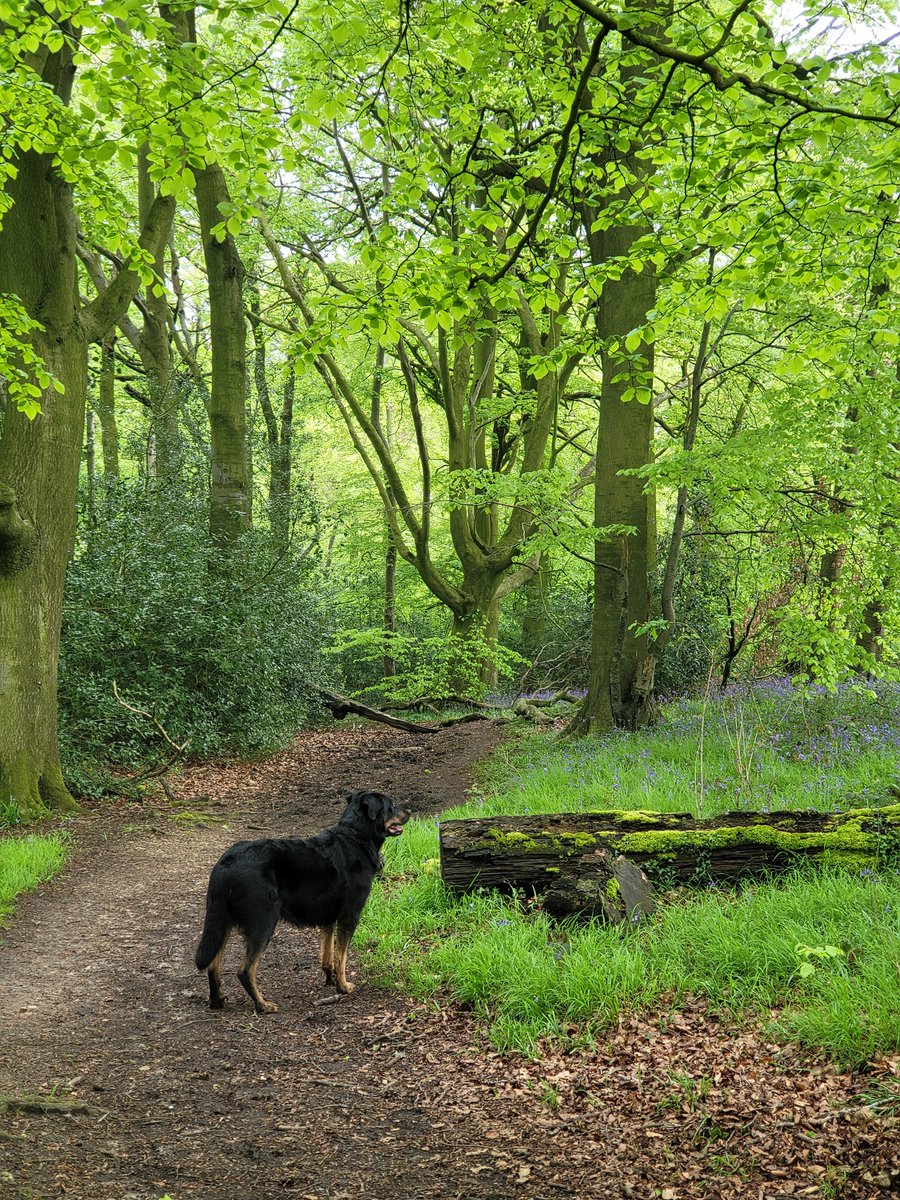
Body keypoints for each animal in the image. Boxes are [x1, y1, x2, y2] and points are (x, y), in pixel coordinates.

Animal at [196, 796, 412, 1012]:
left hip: (223, 922)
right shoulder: (349, 916)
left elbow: (328, 954)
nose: (409, 810)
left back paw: (217, 1000)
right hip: (263, 923)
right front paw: (342, 986)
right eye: (390, 805)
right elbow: (341, 956)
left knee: (213, 963)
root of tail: (225, 865)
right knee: (245, 970)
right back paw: (262, 1004)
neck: (355, 836)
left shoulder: (328, 917)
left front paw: (330, 979)